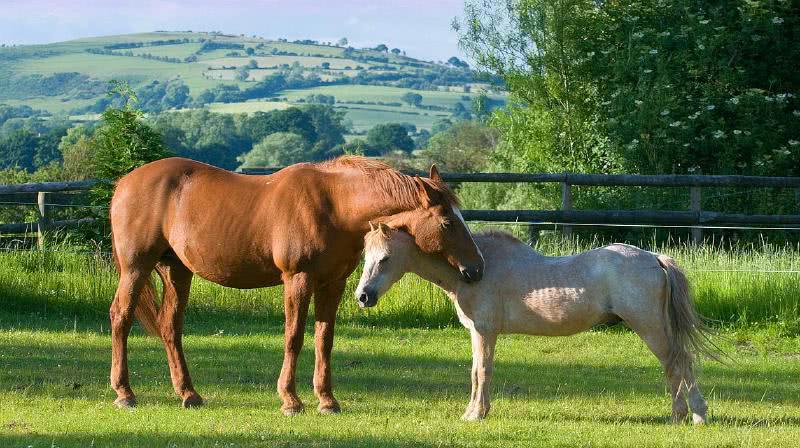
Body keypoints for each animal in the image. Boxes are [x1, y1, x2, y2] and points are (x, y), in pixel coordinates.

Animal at [109, 156, 484, 414]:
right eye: (447, 222)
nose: (477, 269)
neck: (335, 205)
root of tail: (124, 183)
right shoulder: (297, 280)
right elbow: (294, 337)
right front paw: (290, 399)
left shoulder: (333, 284)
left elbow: (324, 340)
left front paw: (327, 400)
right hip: (136, 267)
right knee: (121, 317)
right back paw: (125, 393)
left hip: (176, 271)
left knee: (170, 327)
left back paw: (189, 394)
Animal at [356, 226, 720, 426]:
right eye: (365, 256)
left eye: (385, 258)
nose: (363, 296)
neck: (473, 270)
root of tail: (654, 258)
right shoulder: (477, 333)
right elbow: (475, 372)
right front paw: (472, 412)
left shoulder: (485, 332)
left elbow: (482, 372)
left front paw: (476, 415)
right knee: (677, 366)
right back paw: (684, 415)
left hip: (650, 327)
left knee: (678, 364)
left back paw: (691, 416)